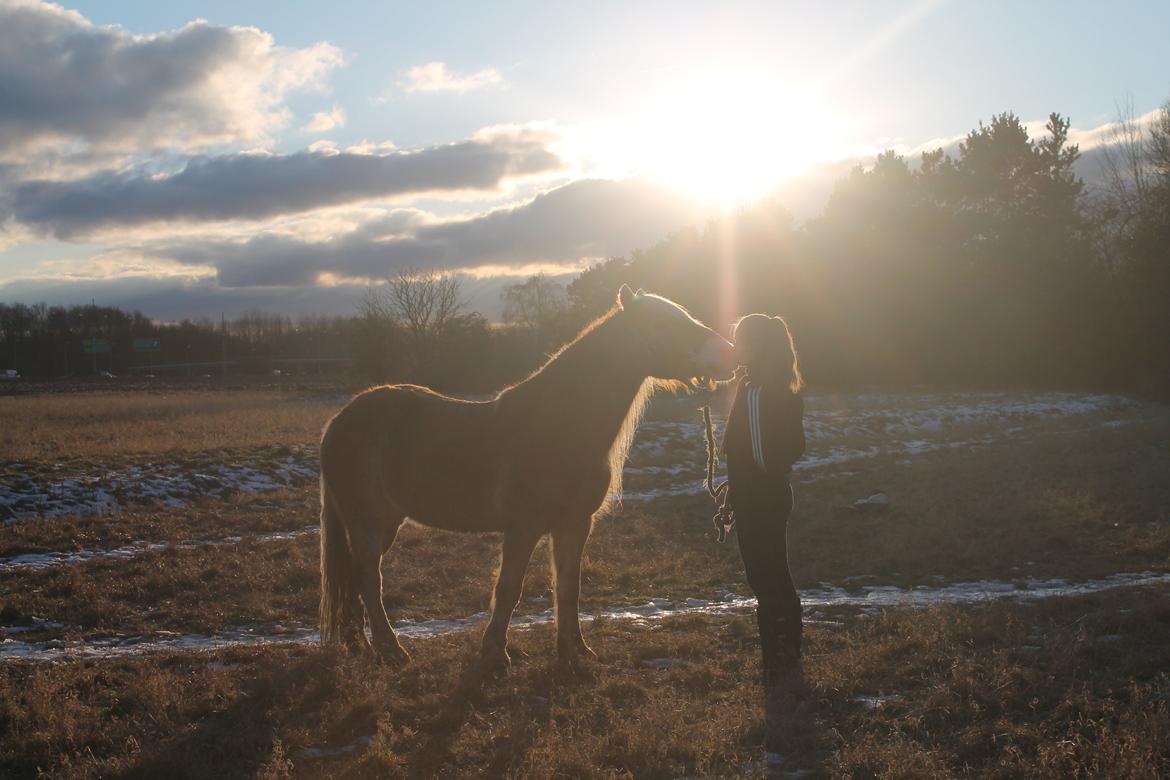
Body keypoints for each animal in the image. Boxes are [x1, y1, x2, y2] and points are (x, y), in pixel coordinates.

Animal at [318, 284, 739, 668]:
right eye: (662, 324)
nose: (729, 354)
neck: (556, 427)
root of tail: (339, 422)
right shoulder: (523, 526)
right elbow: (509, 588)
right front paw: (494, 653)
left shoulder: (575, 524)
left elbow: (568, 588)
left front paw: (574, 651)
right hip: (368, 522)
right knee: (368, 580)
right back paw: (391, 651)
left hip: (385, 523)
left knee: (354, 580)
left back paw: (361, 646)